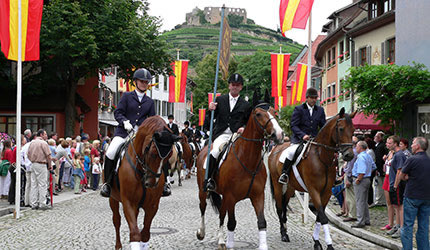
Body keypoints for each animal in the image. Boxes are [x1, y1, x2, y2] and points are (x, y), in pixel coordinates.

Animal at [109, 116, 181, 250]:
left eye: (168, 156)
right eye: (153, 154)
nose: (152, 183)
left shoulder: (152, 205)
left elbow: (145, 234)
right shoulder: (128, 202)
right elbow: (135, 233)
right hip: (113, 198)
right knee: (116, 220)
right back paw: (118, 245)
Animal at [196, 92, 284, 250]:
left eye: (274, 112)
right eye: (258, 114)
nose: (279, 134)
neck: (248, 160)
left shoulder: (258, 196)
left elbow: (262, 222)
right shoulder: (230, 197)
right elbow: (231, 222)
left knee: (220, 214)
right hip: (203, 190)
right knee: (203, 208)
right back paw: (203, 233)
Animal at [268, 108, 356, 250]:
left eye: (353, 130)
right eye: (341, 129)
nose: (349, 155)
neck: (322, 158)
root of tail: (275, 150)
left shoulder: (326, 192)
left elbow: (320, 217)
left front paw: (316, 241)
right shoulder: (314, 190)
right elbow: (323, 217)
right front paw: (328, 245)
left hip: (290, 187)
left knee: (285, 205)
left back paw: (285, 231)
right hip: (278, 185)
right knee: (279, 206)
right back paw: (283, 234)